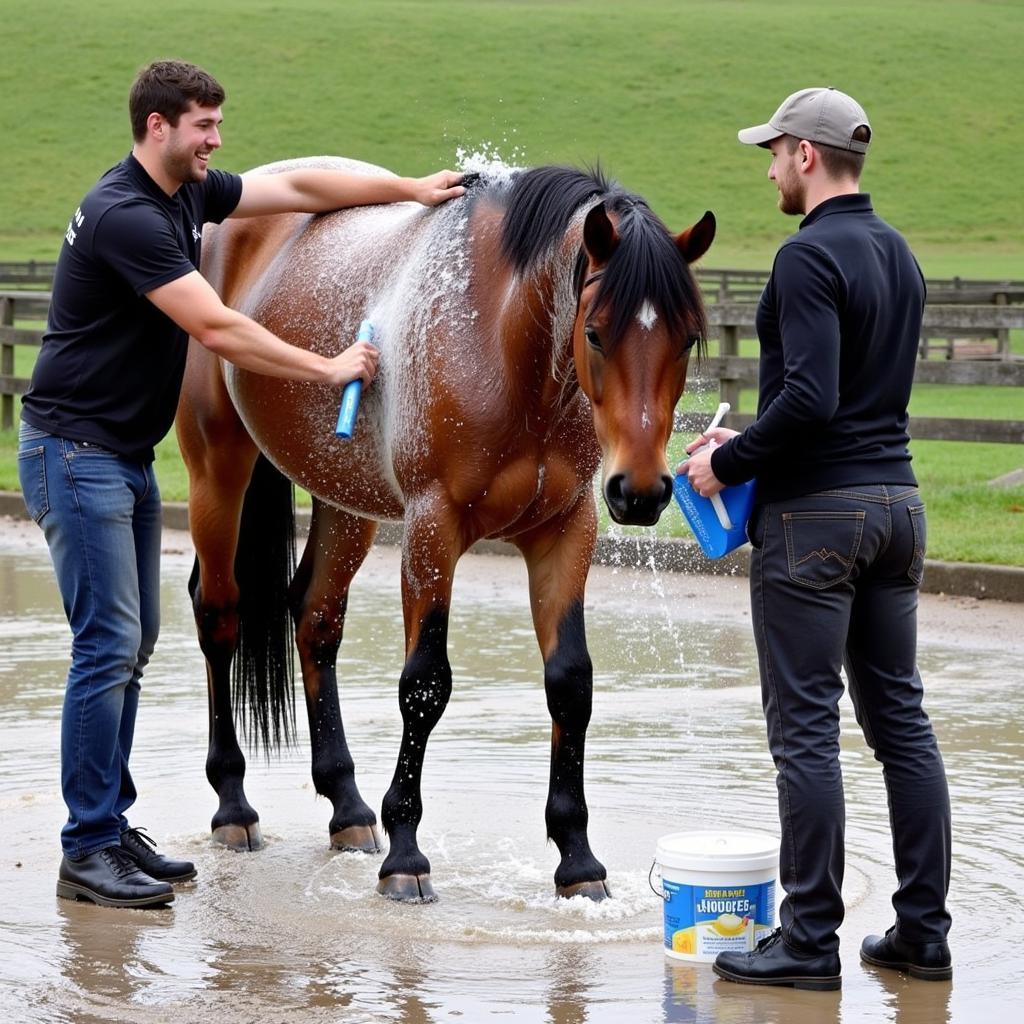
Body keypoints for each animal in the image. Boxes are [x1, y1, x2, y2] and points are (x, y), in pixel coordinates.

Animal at [178, 155, 712, 901]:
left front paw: (578, 860)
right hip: (217, 467)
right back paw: (233, 805)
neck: (502, 340)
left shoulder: (565, 531)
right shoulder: (433, 530)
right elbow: (424, 686)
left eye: (686, 338)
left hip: (347, 501)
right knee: (219, 615)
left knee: (315, 617)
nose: (639, 491)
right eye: (596, 331)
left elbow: (570, 683)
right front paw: (406, 853)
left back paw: (346, 807)